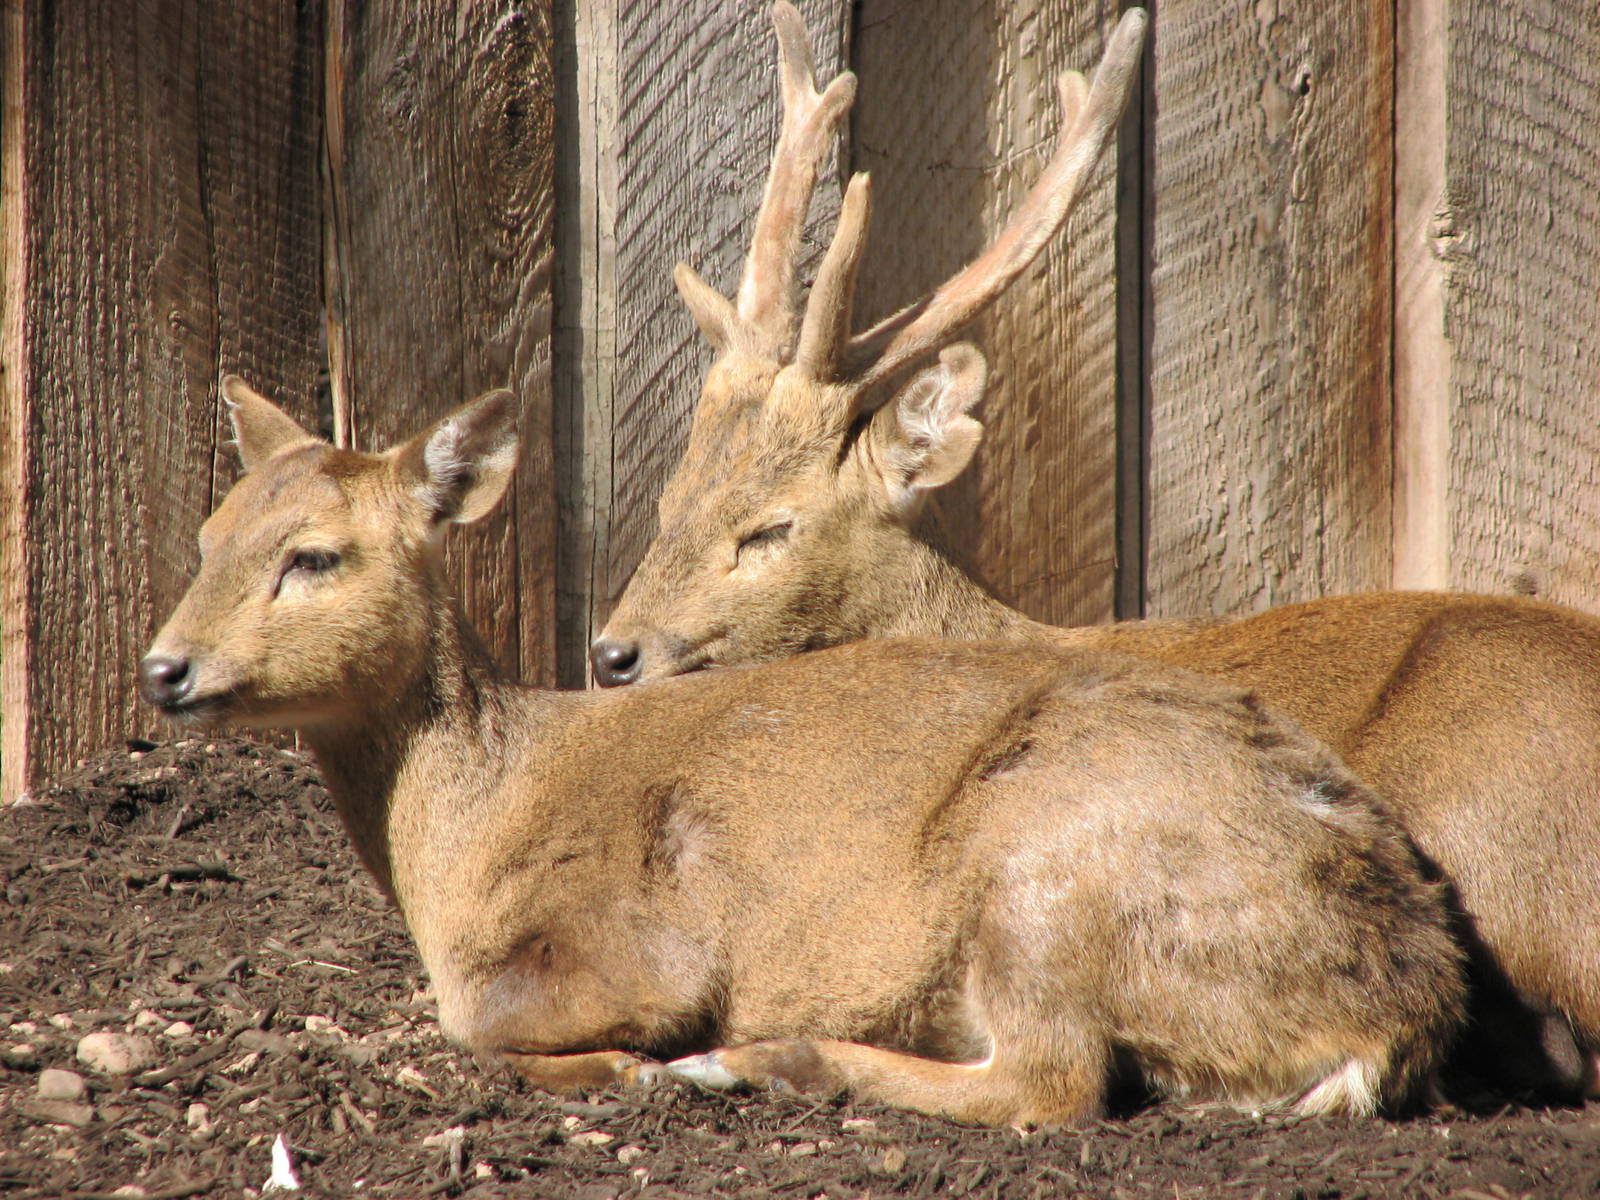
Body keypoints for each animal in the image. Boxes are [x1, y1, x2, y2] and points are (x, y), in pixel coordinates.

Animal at [136, 361, 1468, 1126]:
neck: (464, 834)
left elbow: (482, 1020)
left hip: (1045, 869)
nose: (163, 668)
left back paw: (763, 1061)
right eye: (203, 536)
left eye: (315, 555)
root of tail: (1401, 997)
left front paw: (635, 1067)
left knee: (1051, 1085)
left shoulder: (636, 939)